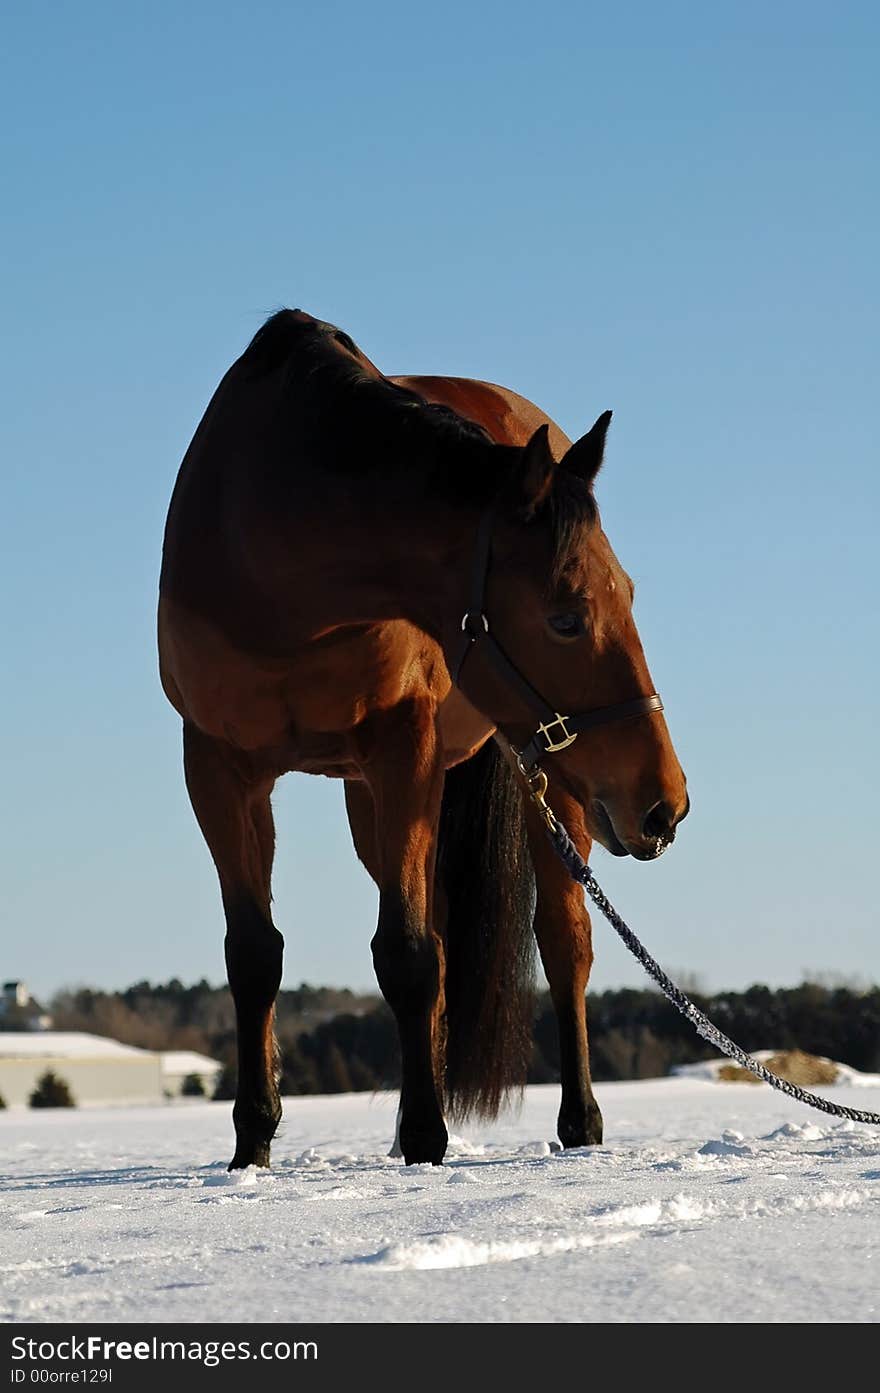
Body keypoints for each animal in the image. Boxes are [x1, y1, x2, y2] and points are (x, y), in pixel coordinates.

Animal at [161, 310, 690, 1170]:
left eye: (630, 594)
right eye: (566, 615)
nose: (665, 803)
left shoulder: (402, 748)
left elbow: (408, 954)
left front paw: (425, 1139)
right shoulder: (217, 766)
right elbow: (256, 954)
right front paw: (253, 1144)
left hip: (551, 788)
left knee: (565, 943)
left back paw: (578, 1123)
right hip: (372, 799)